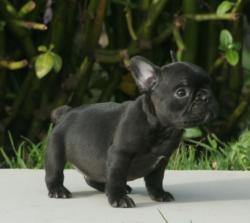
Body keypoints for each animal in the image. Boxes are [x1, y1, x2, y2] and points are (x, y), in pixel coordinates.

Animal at [45, 55, 219, 207]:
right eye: (181, 92)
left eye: (210, 85)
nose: (205, 96)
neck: (161, 128)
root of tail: (66, 112)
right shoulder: (120, 155)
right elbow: (116, 177)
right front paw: (118, 198)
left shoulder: (162, 160)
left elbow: (156, 180)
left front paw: (159, 194)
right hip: (56, 150)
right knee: (55, 172)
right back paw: (58, 190)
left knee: (92, 177)